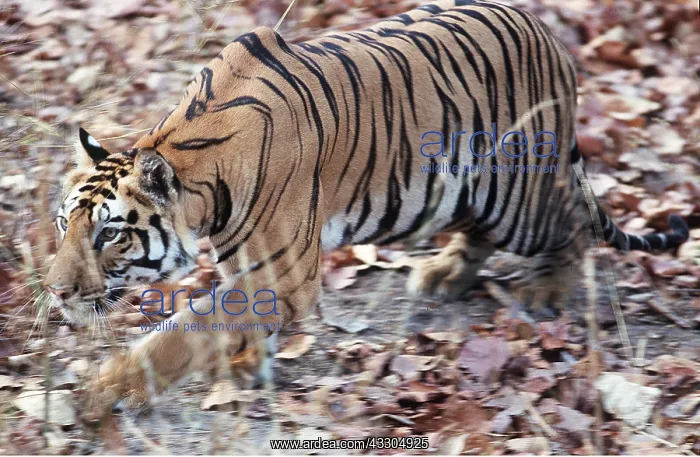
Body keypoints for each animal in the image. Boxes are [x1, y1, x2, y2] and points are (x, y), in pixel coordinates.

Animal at [43, 0, 689, 415]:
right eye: (64, 225)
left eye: (109, 236)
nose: (55, 291)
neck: (196, 166)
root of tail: (553, 41)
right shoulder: (255, 273)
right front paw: (249, 365)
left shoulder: (279, 273)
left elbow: (180, 333)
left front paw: (106, 391)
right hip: (449, 189)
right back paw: (445, 274)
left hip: (518, 196)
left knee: (573, 224)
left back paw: (546, 289)